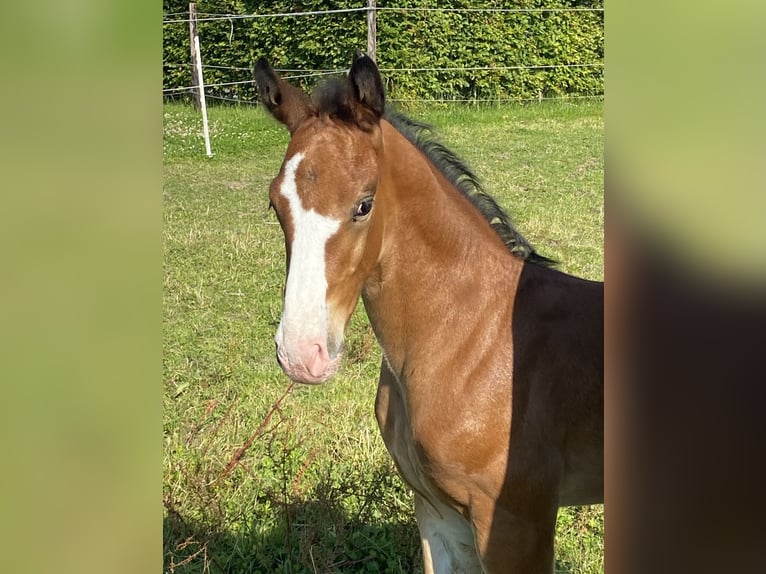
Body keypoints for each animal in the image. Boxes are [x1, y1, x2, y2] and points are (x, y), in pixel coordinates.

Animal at [255, 54, 604, 574]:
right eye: (275, 204)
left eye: (364, 205)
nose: (301, 353)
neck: (472, 332)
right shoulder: (437, 510)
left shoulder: (516, 523)